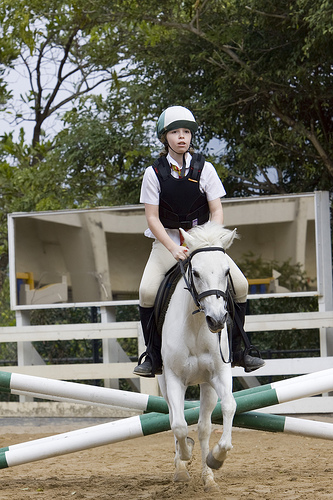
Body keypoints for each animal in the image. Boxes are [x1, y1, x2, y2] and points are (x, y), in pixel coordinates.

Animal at [158, 223, 237, 492]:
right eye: (196, 272)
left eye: (227, 271)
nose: (217, 320)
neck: (195, 326)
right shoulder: (174, 379)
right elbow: (179, 425)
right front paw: (184, 457)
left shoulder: (218, 375)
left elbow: (229, 406)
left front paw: (217, 458)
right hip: (163, 381)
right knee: (174, 419)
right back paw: (181, 467)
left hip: (206, 385)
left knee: (203, 427)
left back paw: (208, 477)